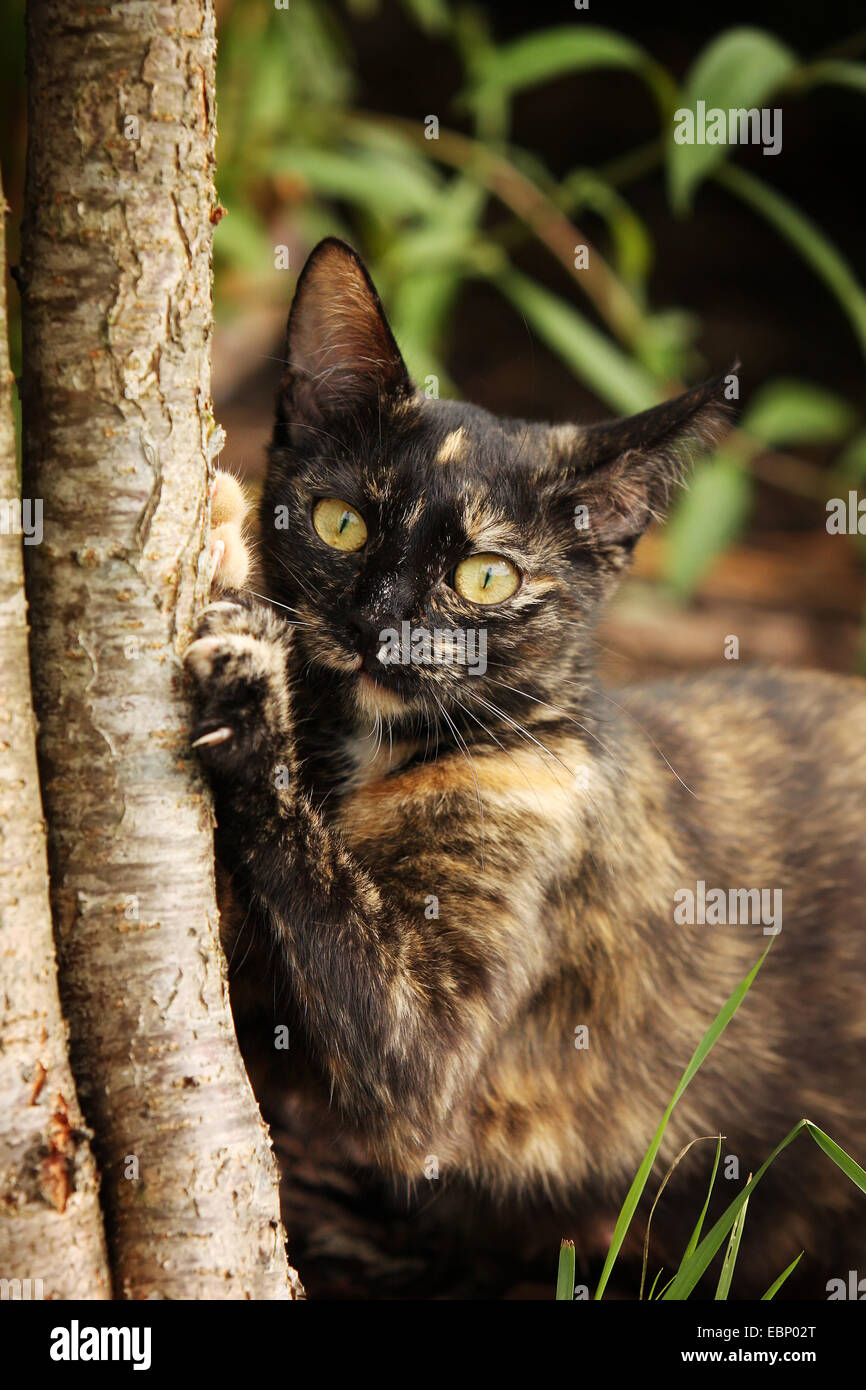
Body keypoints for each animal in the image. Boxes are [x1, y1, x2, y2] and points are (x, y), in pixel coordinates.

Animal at [184, 241, 866, 1301]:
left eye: (487, 578)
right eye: (341, 525)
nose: (380, 624)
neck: (361, 757)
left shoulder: (425, 1048)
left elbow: (318, 898)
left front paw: (251, 683)